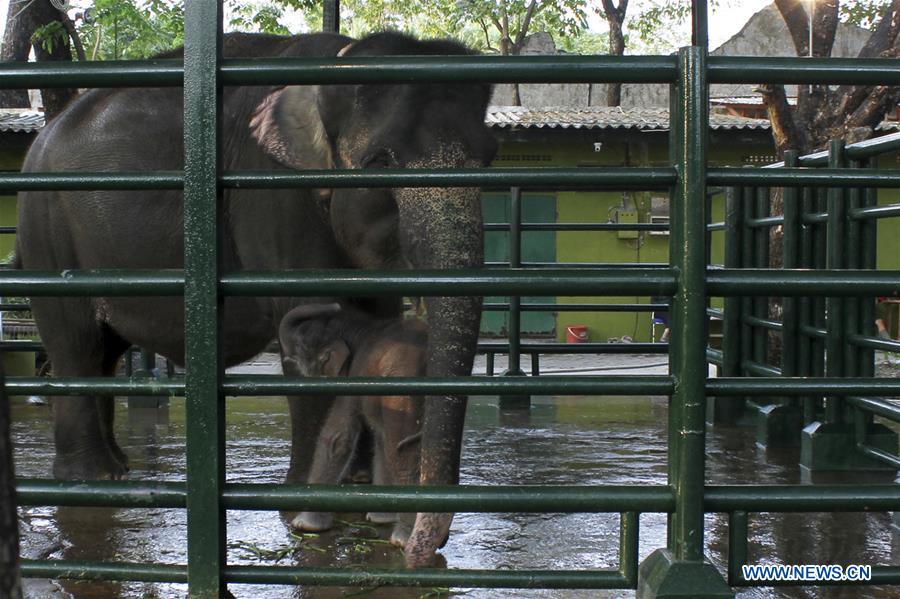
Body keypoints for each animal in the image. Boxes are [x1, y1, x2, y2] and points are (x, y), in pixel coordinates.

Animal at [278, 302, 426, 548]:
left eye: (300, 347)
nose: (334, 305)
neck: (360, 325)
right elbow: (379, 439)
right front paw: (380, 518)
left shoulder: (354, 372)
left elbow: (337, 435)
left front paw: (304, 526)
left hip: (402, 395)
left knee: (402, 451)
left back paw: (403, 540)